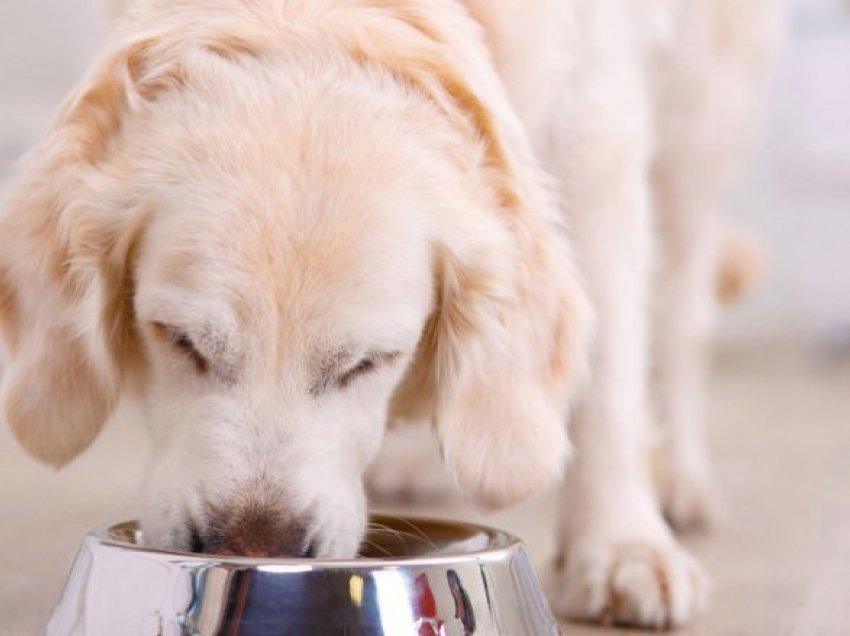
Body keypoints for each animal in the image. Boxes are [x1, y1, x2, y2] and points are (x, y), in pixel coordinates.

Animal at [0, 0, 776, 628]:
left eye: (369, 362)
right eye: (180, 340)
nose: (254, 550)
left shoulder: (597, 130)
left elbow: (610, 371)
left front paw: (620, 546)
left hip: (701, 112)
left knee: (681, 310)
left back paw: (677, 476)